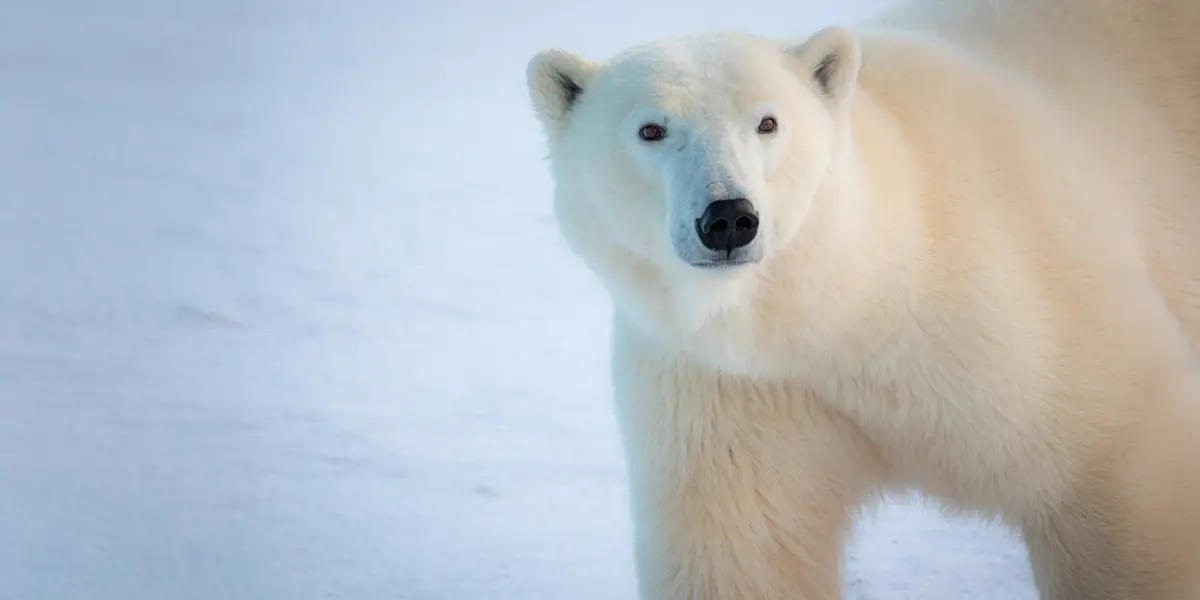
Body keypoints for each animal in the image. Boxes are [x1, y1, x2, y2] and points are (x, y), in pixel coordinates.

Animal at [525, 0, 1200, 598]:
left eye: (767, 122)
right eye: (651, 129)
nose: (728, 218)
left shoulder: (1028, 321)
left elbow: (1118, 468)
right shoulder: (729, 389)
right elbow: (743, 550)